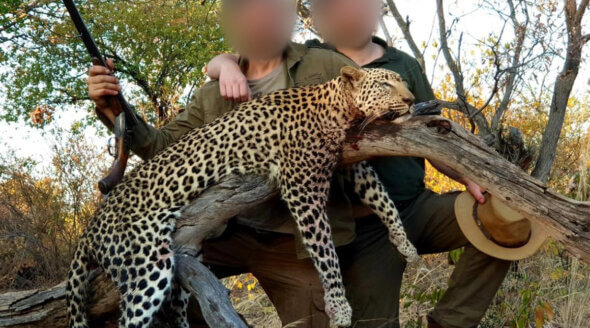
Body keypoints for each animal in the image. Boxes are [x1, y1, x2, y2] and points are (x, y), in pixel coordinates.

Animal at [66, 65, 420, 326]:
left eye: (401, 83)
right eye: (386, 85)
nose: (411, 99)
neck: (338, 111)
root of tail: (90, 227)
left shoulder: (351, 166)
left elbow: (383, 200)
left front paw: (405, 244)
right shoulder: (303, 189)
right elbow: (326, 252)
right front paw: (339, 305)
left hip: (184, 255)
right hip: (146, 266)